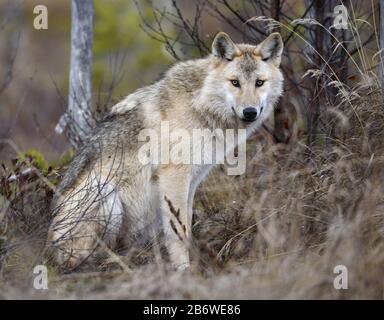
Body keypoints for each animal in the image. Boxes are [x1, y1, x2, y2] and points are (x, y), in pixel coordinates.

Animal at [48, 31, 284, 270]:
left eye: (259, 82)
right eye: (235, 82)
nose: (250, 112)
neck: (200, 104)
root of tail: (50, 250)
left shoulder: (193, 181)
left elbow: (185, 226)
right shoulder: (174, 176)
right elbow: (178, 233)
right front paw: (184, 270)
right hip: (104, 193)